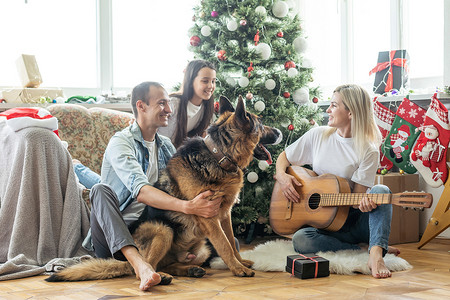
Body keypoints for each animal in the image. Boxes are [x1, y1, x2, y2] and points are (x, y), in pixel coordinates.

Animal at [47, 95, 284, 284]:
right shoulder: (209, 218)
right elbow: (225, 245)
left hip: (202, 248)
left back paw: (188, 270)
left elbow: (232, 243)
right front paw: (238, 269)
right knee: (145, 267)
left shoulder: (224, 215)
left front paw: (240, 262)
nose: (281, 132)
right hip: (163, 230)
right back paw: (156, 277)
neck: (218, 155)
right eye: (261, 124)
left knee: (166, 264)